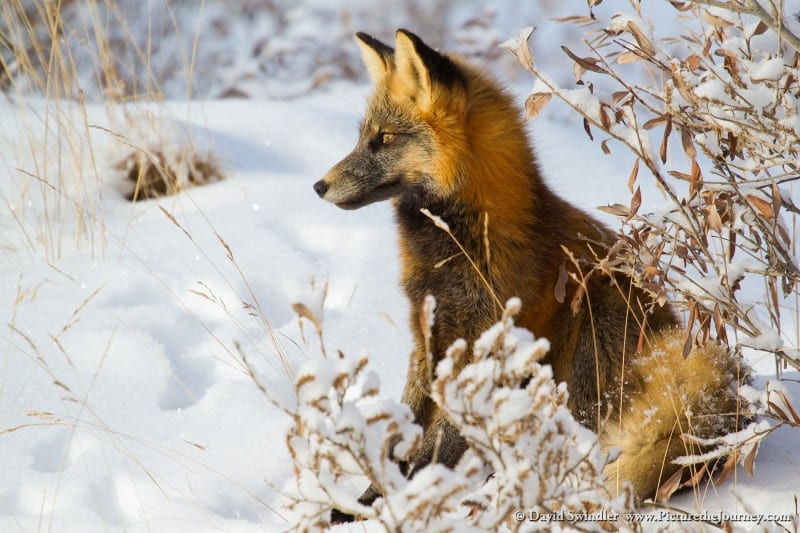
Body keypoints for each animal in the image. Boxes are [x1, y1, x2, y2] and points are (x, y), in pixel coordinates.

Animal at [312, 28, 744, 516]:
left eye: (384, 139)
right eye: (364, 137)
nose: (319, 186)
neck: (460, 246)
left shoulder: (484, 343)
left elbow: (440, 441)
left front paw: (410, 499)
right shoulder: (427, 334)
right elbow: (406, 430)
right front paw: (366, 502)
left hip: (594, 324)